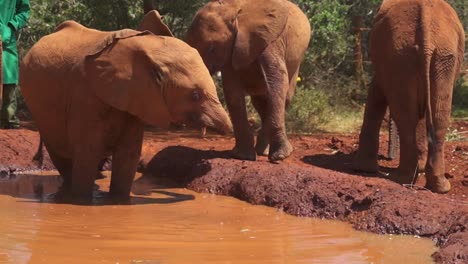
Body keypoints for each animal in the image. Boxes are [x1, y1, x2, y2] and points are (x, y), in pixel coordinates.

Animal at [20, 12, 232, 202]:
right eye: (195, 96)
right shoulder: (85, 95)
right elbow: (88, 149)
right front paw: (80, 202)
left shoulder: (138, 98)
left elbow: (129, 152)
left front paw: (119, 201)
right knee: (60, 151)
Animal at [184, 0, 310, 161]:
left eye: (212, 48)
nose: (203, 133)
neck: (234, 10)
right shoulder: (231, 48)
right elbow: (232, 92)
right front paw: (242, 156)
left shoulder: (270, 39)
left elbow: (277, 80)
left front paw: (280, 156)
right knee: (260, 102)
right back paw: (261, 151)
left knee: (283, 97)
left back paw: (265, 151)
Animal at [354, 0, 464, 194]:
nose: (389, 158)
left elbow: (377, 94)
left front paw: (363, 170)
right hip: (423, 56)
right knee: (433, 117)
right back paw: (438, 186)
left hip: (413, 56)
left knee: (409, 117)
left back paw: (404, 178)